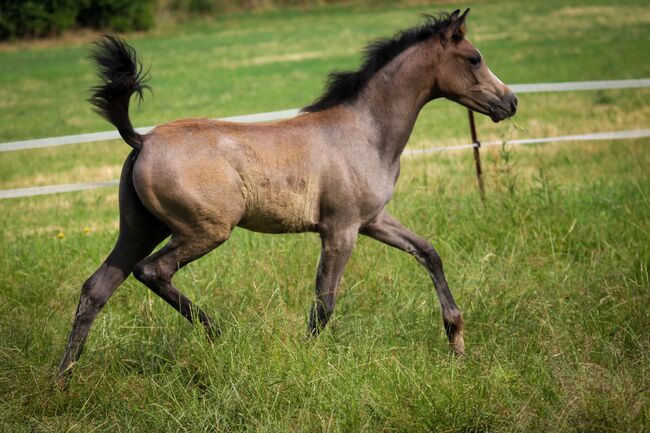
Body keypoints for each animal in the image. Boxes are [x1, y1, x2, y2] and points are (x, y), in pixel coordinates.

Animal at [59, 9, 516, 374]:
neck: (365, 131)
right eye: (474, 58)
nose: (510, 102)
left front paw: (456, 339)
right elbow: (324, 305)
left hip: (140, 229)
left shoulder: (372, 221)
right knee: (152, 271)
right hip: (205, 230)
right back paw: (217, 331)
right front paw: (307, 361)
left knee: (97, 288)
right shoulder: (340, 230)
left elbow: (428, 252)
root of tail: (141, 140)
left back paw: (64, 375)